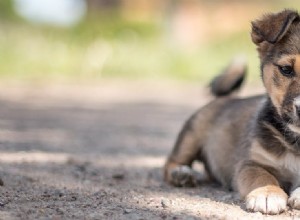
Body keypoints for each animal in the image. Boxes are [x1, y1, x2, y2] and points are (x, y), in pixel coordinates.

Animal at [164, 9, 300, 214]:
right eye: (286, 69)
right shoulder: (250, 163)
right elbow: (262, 176)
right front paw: (268, 193)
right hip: (190, 136)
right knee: (170, 163)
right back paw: (181, 174)